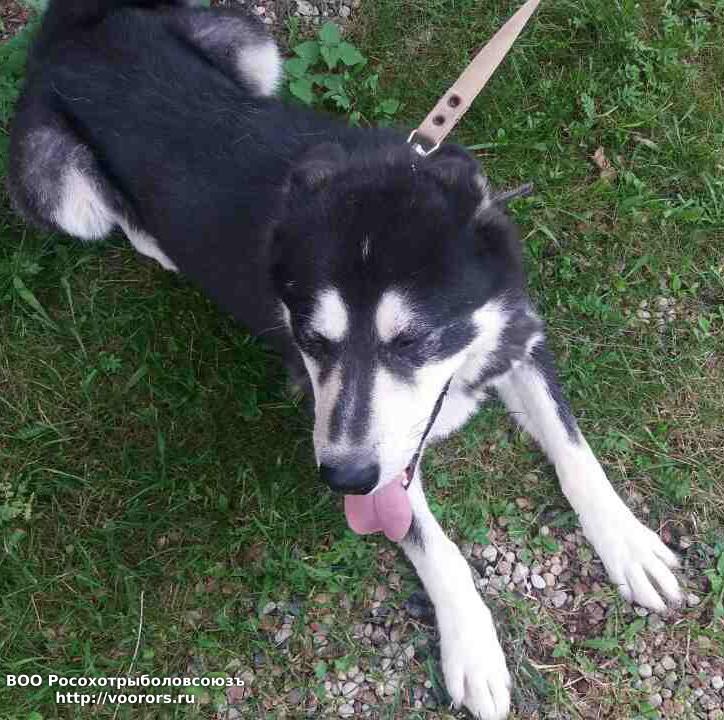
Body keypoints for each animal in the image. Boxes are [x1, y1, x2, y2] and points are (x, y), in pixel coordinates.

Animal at [7, 2, 683, 717]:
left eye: (412, 340)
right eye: (314, 340)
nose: (346, 479)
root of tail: (75, 23)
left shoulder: (518, 333)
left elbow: (575, 448)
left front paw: (627, 542)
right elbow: (433, 544)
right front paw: (472, 645)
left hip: (254, 47)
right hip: (64, 189)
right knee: (116, 219)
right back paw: (160, 246)